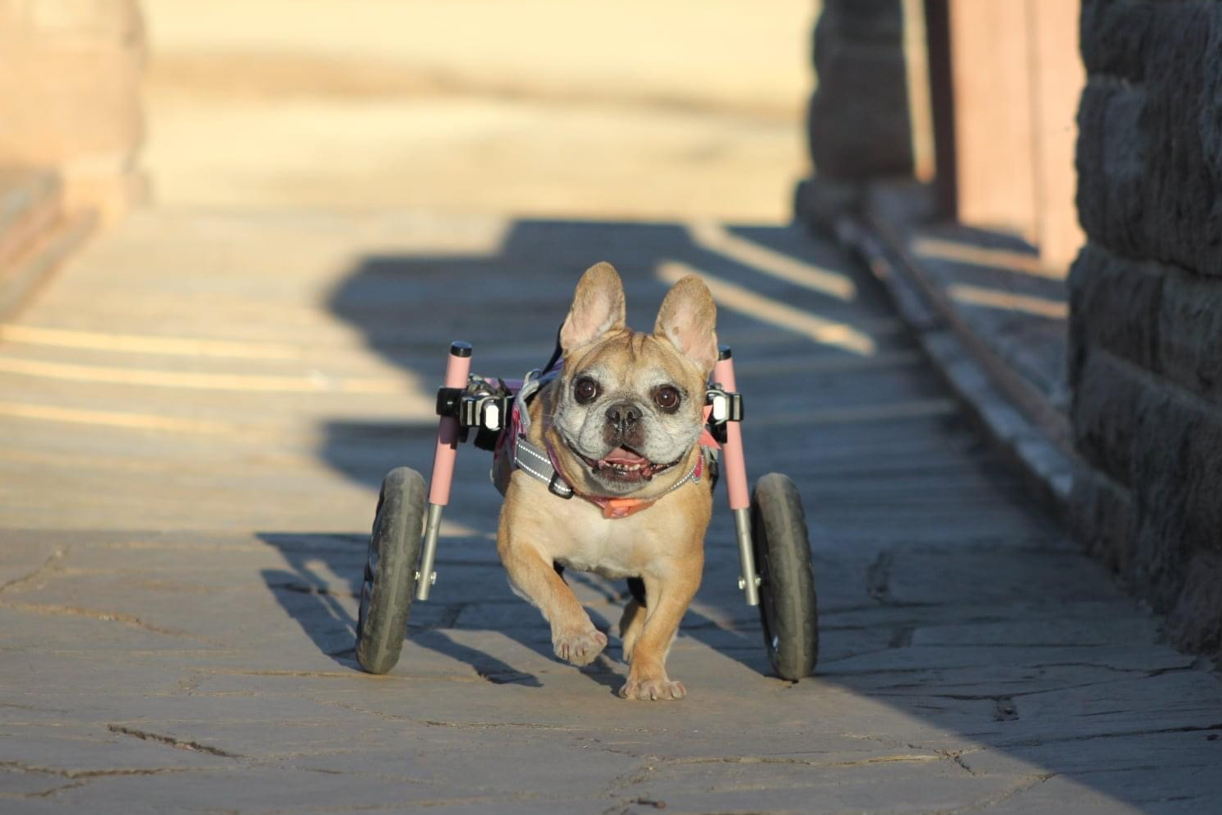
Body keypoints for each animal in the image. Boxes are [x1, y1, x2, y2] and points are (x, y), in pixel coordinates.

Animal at [493, 261, 713, 703]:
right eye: (586, 388)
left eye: (667, 397)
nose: (624, 412)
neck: (608, 501)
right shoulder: (520, 544)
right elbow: (553, 588)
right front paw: (577, 637)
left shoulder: (680, 571)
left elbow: (658, 628)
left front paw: (649, 677)